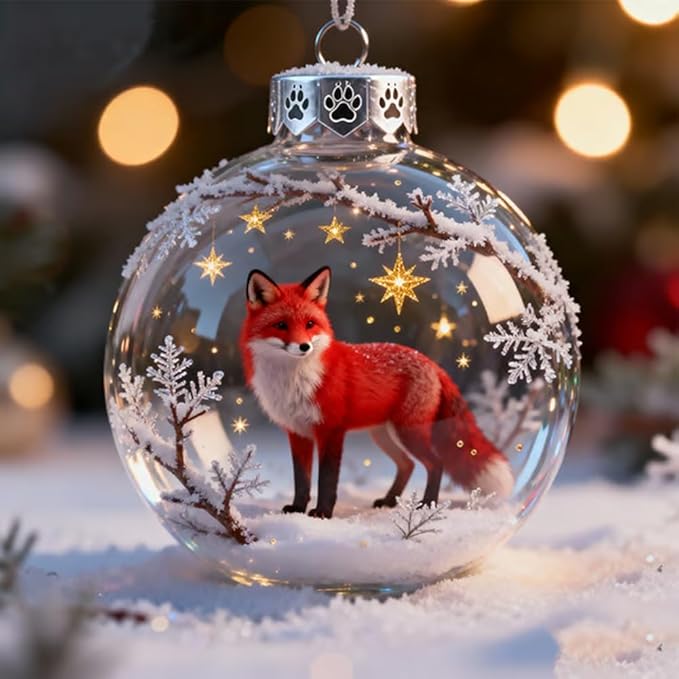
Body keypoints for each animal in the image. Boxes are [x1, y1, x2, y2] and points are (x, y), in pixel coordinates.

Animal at [240, 266, 514, 519]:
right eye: (281, 325)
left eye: (309, 324)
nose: (304, 346)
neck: (295, 379)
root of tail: (430, 362)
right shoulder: (298, 433)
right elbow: (302, 480)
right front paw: (297, 509)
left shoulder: (331, 431)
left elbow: (327, 480)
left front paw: (323, 513)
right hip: (383, 435)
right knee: (408, 464)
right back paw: (389, 500)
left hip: (408, 432)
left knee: (436, 463)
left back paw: (427, 504)